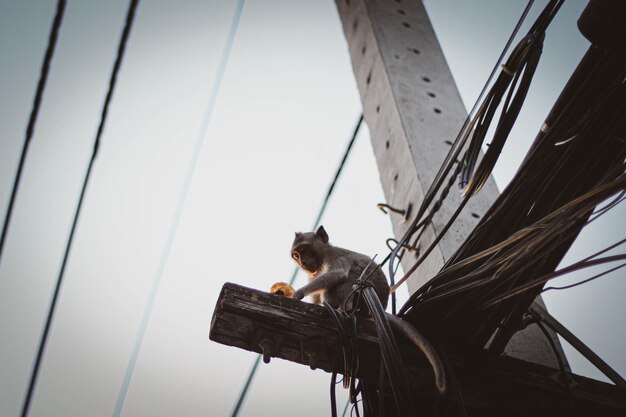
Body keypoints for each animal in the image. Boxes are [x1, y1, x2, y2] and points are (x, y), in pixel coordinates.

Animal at [290, 226, 446, 392]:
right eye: (296, 255)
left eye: (304, 249)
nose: (302, 263)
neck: (324, 255)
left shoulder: (336, 257)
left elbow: (337, 275)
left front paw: (298, 293)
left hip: (359, 299)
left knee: (344, 281)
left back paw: (343, 309)